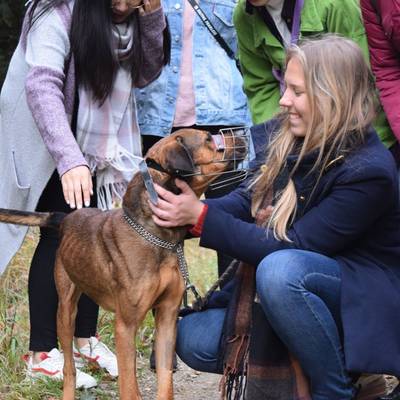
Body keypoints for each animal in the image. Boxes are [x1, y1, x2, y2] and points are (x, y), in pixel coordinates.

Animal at [0, 128, 247, 400]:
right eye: (207, 139)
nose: (241, 135)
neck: (158, 236)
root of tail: (66, 219)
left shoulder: (167, 317)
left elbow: (165, 382)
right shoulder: (125, 326)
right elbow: (128, 386)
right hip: (65, 308)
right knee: (69, 368)